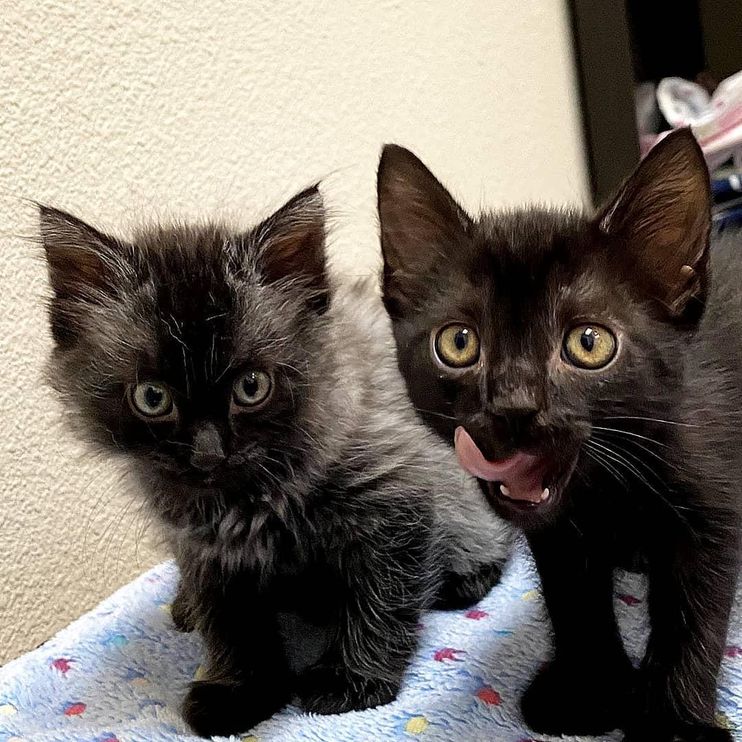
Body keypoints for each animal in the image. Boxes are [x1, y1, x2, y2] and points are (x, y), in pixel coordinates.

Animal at [43, 185, 516, 740]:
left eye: (252, 386)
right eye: (152, 397)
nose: (209, 451)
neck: (243, 500)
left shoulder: (398, 490)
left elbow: (380, 599)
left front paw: (351, 680)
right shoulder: (207, 553)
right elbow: (231, 627)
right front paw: (239, 693)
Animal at [380, 134, 740, 742]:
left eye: (589, 343)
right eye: (458, 342)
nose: (514, 406)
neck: (605, 492)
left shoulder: (711, 509)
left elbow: (693, 620)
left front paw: (672, 723)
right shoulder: (557, 535)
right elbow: (573, 600)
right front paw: (590, 691)